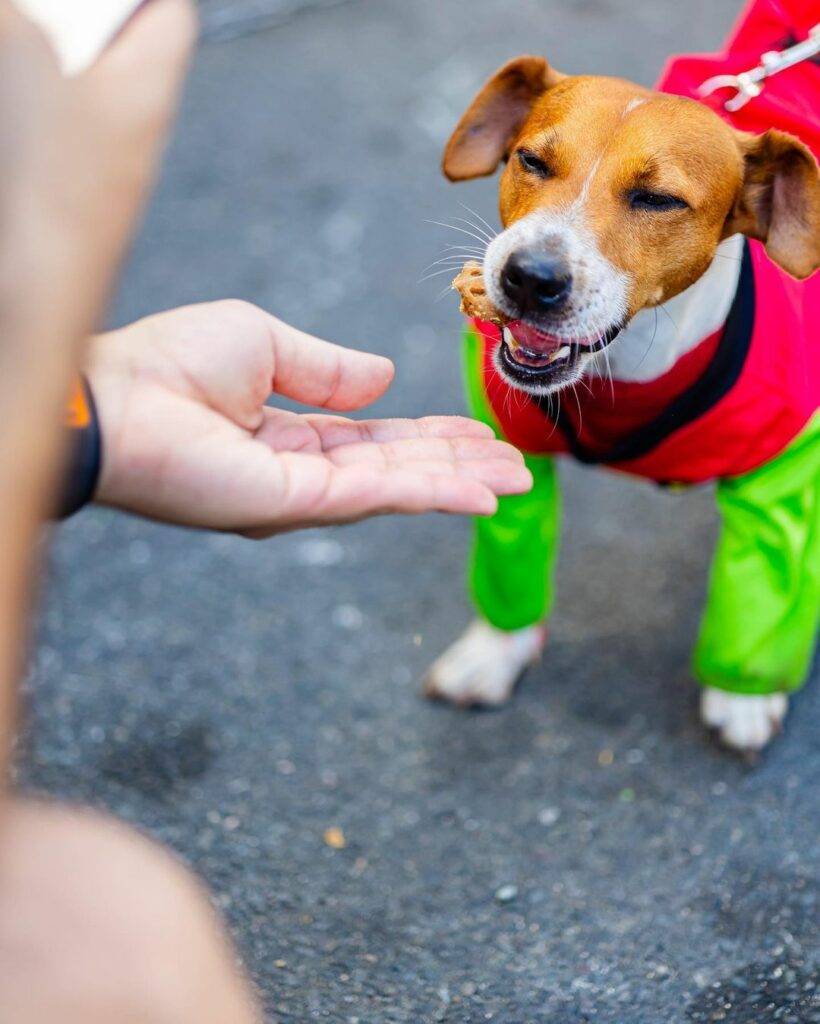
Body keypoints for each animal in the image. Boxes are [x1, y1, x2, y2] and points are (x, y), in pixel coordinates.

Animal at [425, 0, 814, 753]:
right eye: (530, 160)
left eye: (658, 200)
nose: (529, 277)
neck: (624, 369)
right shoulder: (510, 451)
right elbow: (511, 561)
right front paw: (495, 651)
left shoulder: (786, 470)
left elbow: (764, 590)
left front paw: (743, 695)